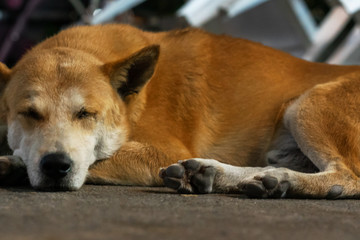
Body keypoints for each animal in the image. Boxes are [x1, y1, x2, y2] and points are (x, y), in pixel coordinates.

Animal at [0, 23, 360, 198]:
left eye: (86, 114)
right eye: (29, 113)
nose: (55, 165)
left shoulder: (165, 151)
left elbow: (100, 159)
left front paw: (15, 164)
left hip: (309, 104)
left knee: (348, 177)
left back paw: (282, 181)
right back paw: (217, 174)